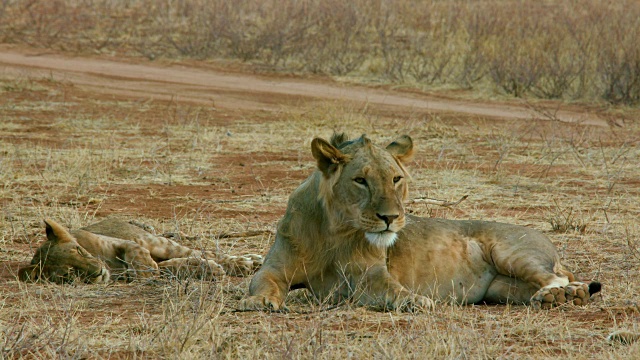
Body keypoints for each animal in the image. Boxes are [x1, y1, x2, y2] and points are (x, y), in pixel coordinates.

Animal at [18, 217, 262, 284]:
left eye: (78, 250)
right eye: (69, 273)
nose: (97, 272)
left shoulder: (119, 243)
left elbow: (139, 257)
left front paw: (147, 270)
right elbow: (169, 268)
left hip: (157, 242)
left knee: (204, 252)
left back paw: (247, 262)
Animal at [242, 134, 604, 310]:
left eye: (396, 179)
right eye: (361, 181)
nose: (390, 218)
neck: (336, 231)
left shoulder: (371, 276)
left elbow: (391, 290)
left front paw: (415, 300)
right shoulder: (274, 268)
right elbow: (262, 282)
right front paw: (259, 302)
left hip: (513, 253)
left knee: (558, 278)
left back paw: (563, 296)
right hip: (503, 290)